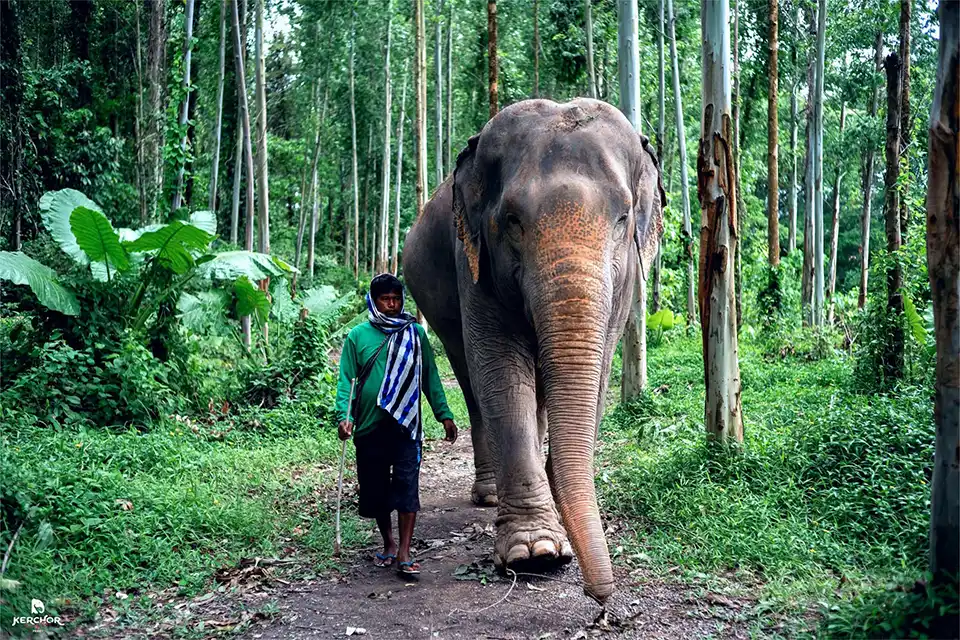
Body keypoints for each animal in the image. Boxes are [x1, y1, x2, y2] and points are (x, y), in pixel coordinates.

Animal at [402, 98, 663, 603]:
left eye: (623, 218)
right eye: (511, 221)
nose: (600, 598)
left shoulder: (625, 279)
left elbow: (600, 368)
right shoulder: (474, 260)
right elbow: (500, 369)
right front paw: (537, 553)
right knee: (469, 377)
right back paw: (488, 494)